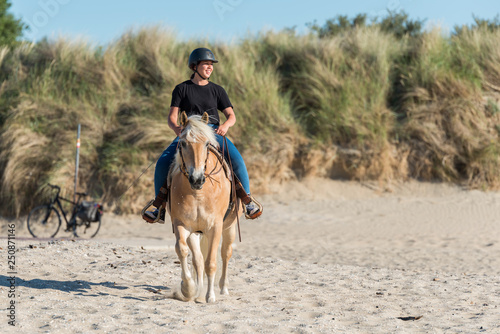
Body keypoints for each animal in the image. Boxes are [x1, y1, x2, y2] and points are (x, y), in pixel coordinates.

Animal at [169, 111, 243, 302]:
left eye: (207, 144)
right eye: (183, 143)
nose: (197, 179)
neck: (198, 194)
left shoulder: (215, 227)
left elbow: (211, 262)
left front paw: (210, 296)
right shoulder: (182, 225)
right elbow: (183, 251)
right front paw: (189, 288)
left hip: (229, 227)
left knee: (225, 253)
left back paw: (223, 288)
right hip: (196, 233)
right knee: (198, 260)